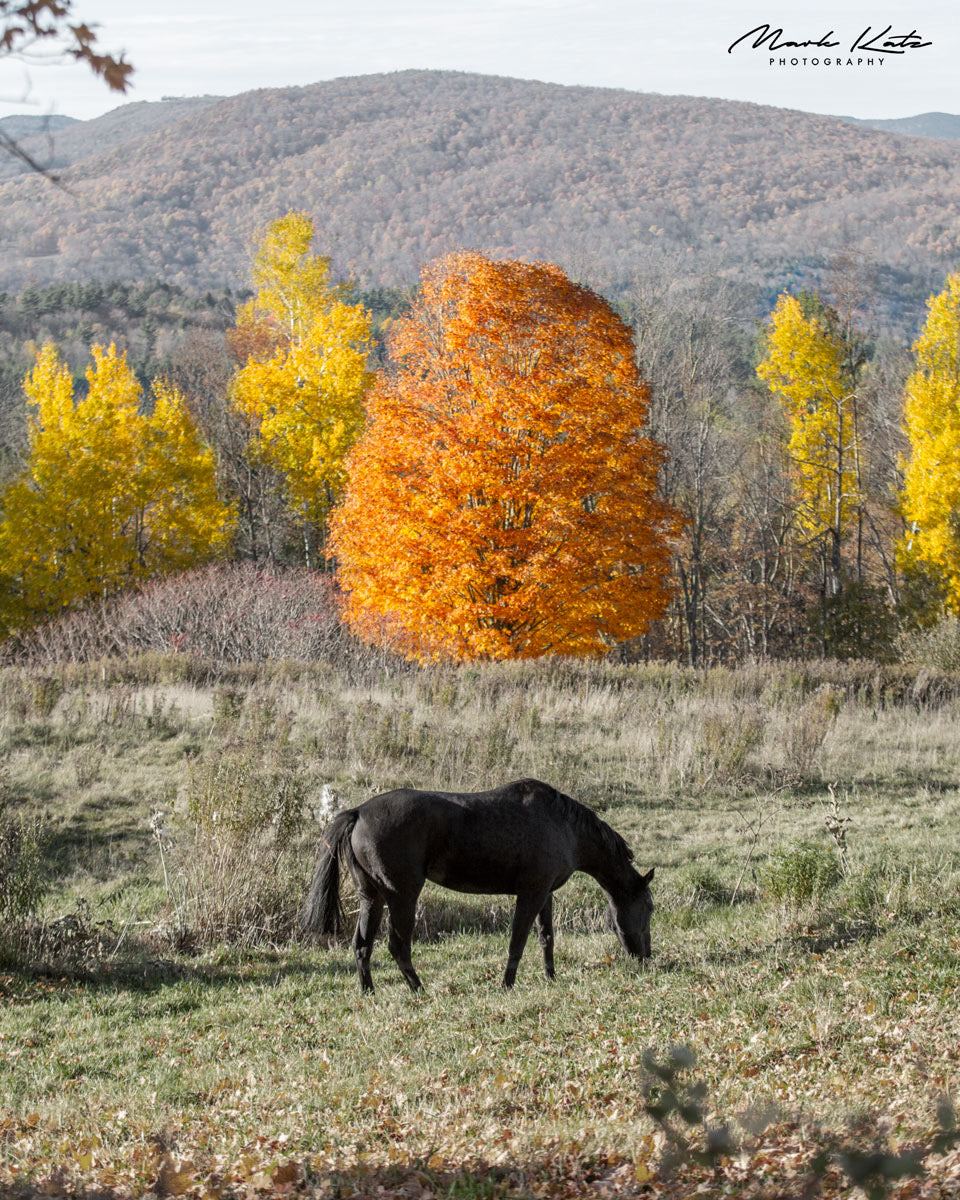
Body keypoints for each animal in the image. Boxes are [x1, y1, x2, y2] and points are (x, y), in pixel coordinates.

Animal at [300, 777, 654, 992]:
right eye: (650, 908)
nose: (647, 959)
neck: (562, 824)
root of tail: (358, 812)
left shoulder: (545, 894)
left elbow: (547, 938)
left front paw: (551, 977)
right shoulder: (531, 893)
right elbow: (517, 941)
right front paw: (507, 985)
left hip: (371, 897)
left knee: (362, 945)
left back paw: (369, 991)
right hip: (402, 897)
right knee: (398, 947)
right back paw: (420, 990)